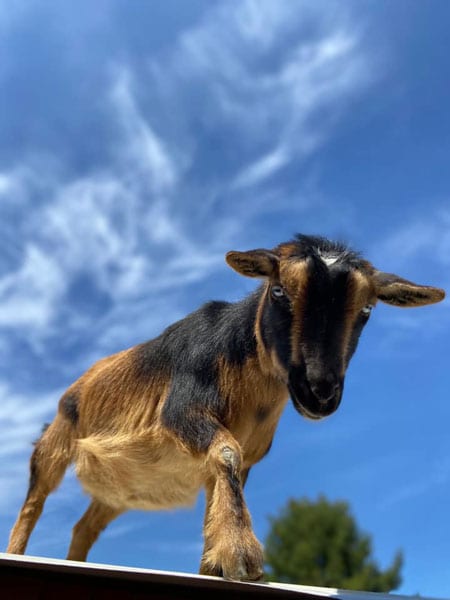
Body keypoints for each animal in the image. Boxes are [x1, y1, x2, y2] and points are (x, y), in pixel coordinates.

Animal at [5, 234, 444, 580]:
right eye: (279, 290)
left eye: (367, 309)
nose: (319, 391)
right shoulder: (183, 413)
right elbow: (227, 454)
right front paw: (243, 558)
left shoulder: (237, 458)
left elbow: (220, 490)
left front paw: (215, 563)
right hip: (58, 438)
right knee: (34, 500)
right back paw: (16, 551)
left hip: (113, 494)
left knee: (84, 527)